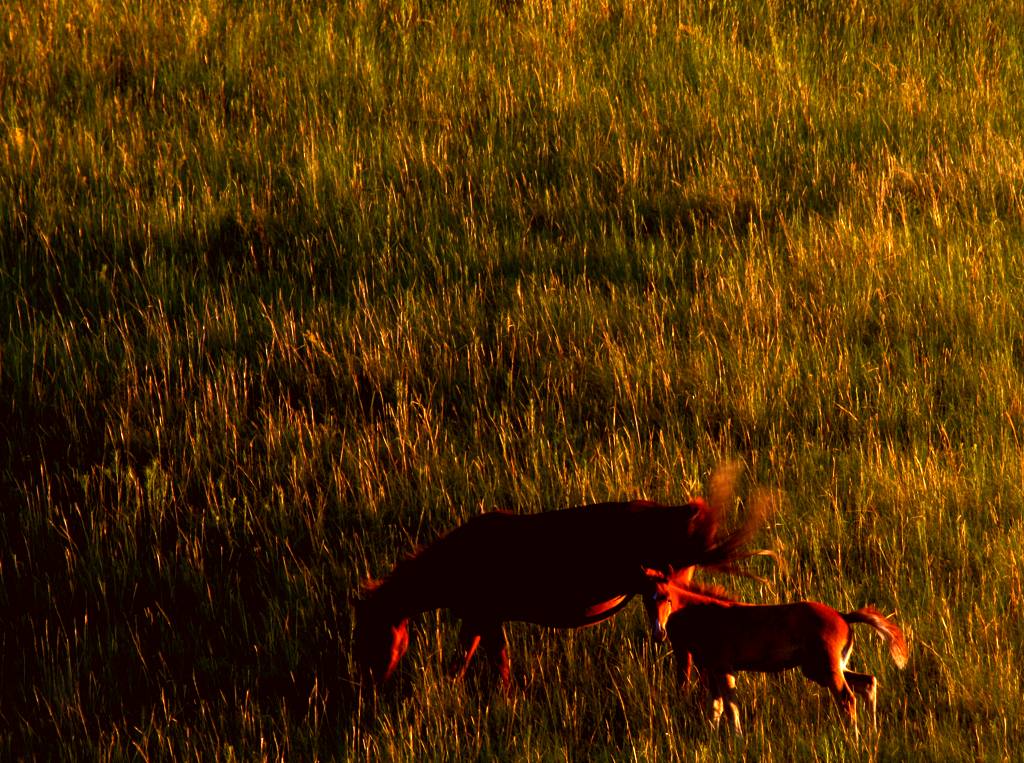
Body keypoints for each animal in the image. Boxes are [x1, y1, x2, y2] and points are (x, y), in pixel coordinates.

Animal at [643, 569, 909, 733]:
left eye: (666, 598)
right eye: (647, 599)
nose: (658, 633)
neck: (705, 614)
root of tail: (842, 615)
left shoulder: (723, 668)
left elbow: (730, 707)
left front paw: (737, 739)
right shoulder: (712, 670)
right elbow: (717, 707)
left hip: (825, 669)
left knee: (847, 697)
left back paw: (852, 736)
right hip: (822, 668)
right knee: (868, 682)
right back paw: (871, 730)